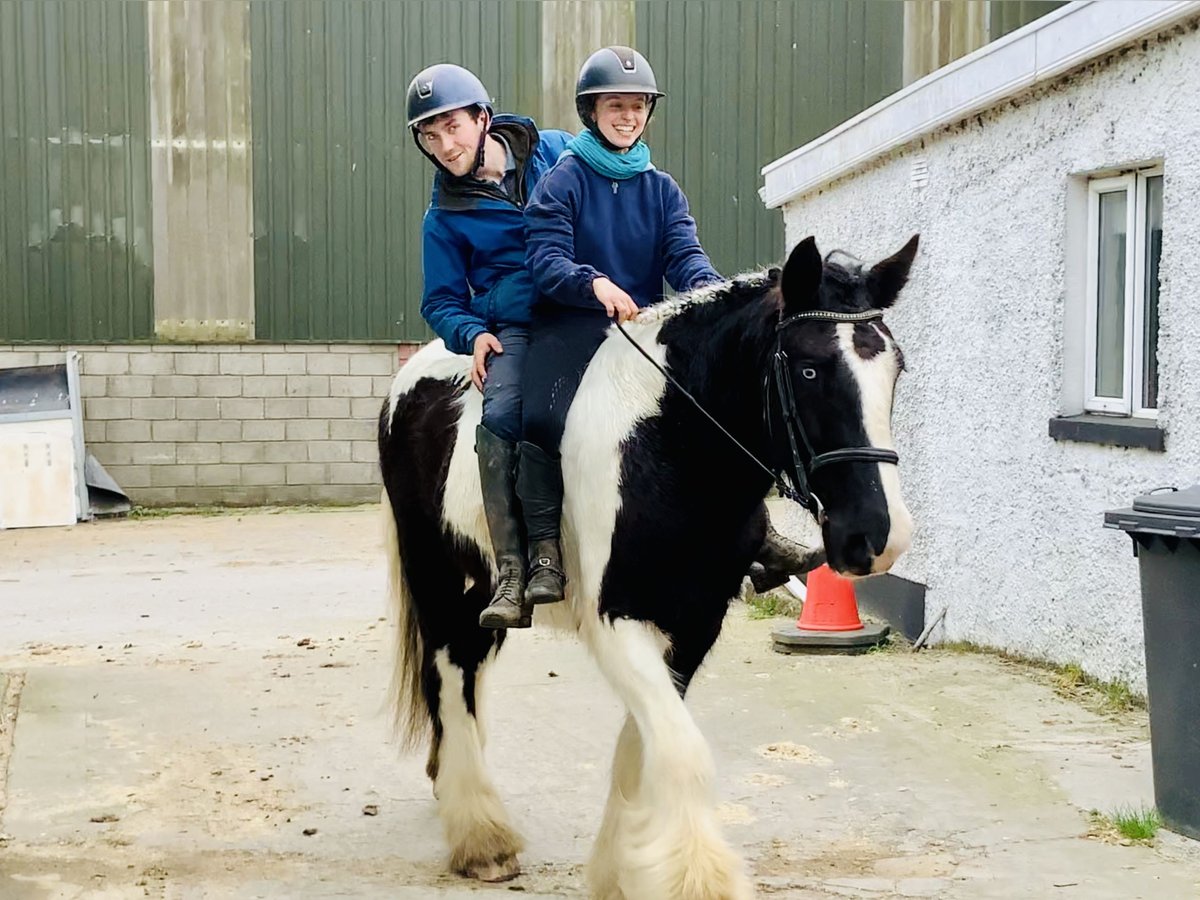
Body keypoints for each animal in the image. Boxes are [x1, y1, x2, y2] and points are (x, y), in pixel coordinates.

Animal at [376, 237, 916, 900]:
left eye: (895, 369)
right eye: (810, 369)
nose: (879, 537)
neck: (667, 445)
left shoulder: (693, 623)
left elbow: (643, 749)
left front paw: (617, 869)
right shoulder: (616, 622)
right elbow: (681, 752)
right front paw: (698, 881)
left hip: (484, 602)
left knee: (472, 677)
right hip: (440, 582)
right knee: (451, 681)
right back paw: (481, 836)